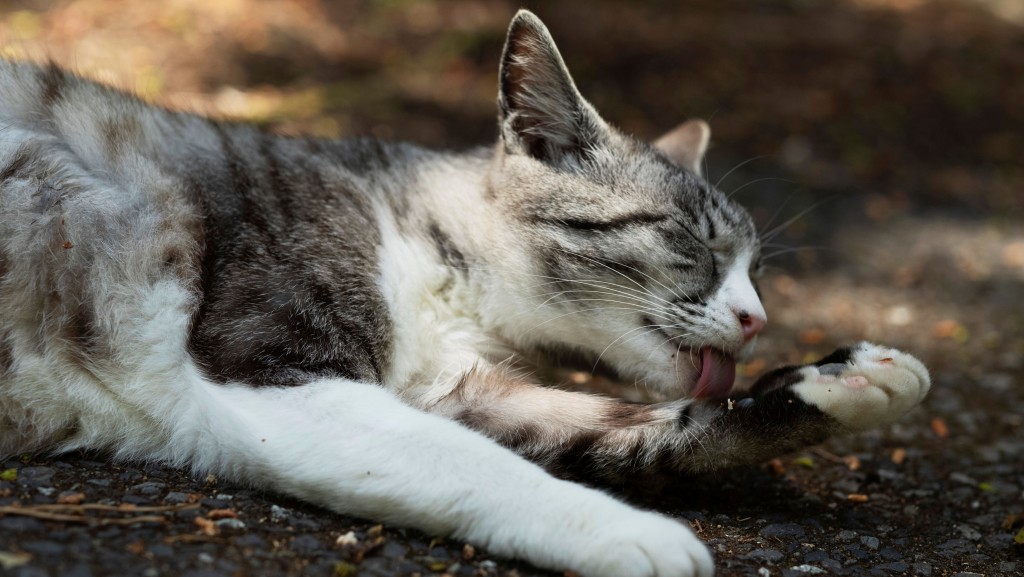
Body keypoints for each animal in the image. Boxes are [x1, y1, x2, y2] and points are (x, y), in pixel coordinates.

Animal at [0, 9, 929, 577]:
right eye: (692, 241)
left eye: (758, 271)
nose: (757, 317)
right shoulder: (270, 372)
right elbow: (473, 463)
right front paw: (638, 533)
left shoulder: (462, 389)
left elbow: (634, 431)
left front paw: (838, 379)